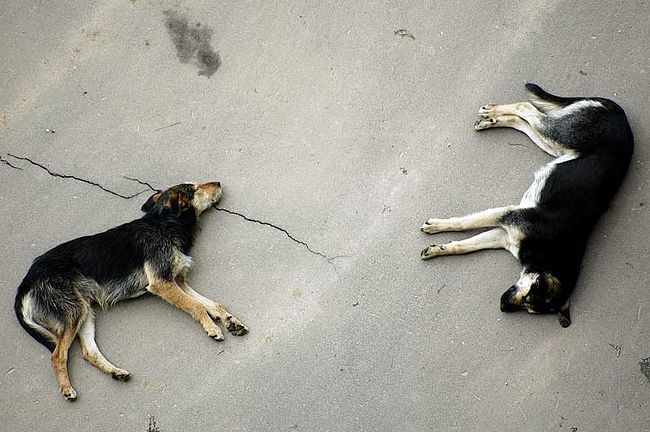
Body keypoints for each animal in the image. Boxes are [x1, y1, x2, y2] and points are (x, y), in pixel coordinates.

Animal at [14, 182, 248, 401]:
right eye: (194, 188)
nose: (218, 183)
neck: (163, 224)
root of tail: (27, 280)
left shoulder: (178, 282)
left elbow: (212, 304)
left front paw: (230, 321)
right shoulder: (162, 283)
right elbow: (197, 307)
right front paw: (212, 327)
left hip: (84, 311)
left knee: (89, 352)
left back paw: (116, 372)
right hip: (73, 311)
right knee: (57, 356)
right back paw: (67, 389)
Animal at [420, 83, 633, 327]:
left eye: (529, 308)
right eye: (530, 295)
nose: (502, 306)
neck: (550, 251)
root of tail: (620, 113)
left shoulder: (503, 236)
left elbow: (464, 246)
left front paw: (438, 249)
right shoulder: (508, 215)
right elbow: (464, 224)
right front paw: (436, 226)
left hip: (554, 146)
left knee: (524, 122)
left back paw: (492, 120)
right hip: (560, 135)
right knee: (528, 108)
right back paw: (492, 112)